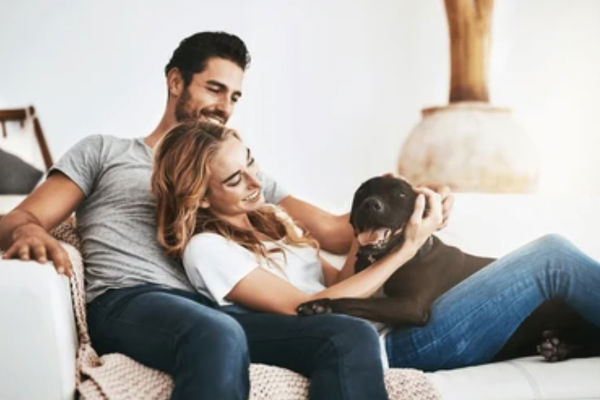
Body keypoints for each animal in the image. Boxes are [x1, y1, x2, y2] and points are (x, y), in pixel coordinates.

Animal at [297, 176, 600, 361]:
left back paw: (559, 348)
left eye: (401, 194)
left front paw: (320, 305)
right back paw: (558, 347)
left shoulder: (412, 305)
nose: (371, 204)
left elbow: (352, 300)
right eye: (362, 192)